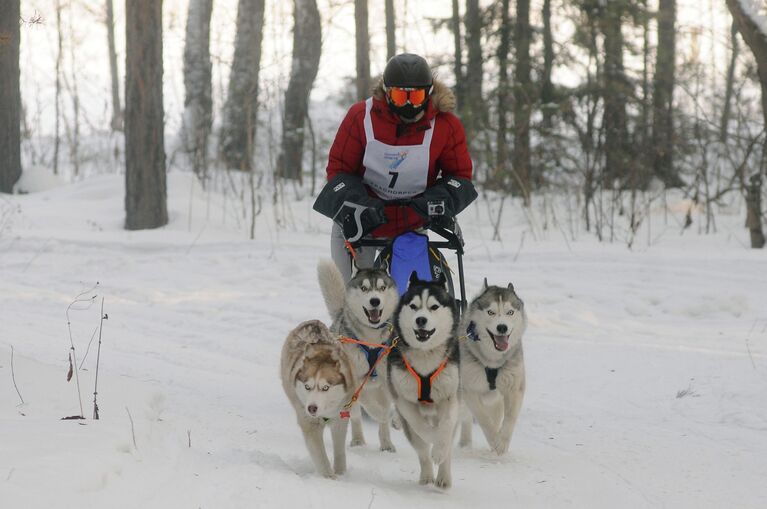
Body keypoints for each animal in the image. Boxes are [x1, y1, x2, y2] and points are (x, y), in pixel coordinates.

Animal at [280, 318, 356, 476]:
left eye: (325, 387)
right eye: (307, 387)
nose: (311, 408)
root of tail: (313, 322)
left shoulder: (341, 417)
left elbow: (339, 450)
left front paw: (341, 473)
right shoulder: (310, 424)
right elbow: (321, 458)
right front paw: (329, 477)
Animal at [318, 260, 402, 450]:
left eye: (382, 288)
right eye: (364, 288)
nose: (375, 301)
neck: (371, 341)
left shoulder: (387, 379)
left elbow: (389, 408)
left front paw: (390, 434)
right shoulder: (353, 382)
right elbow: (360, 411)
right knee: (356, 413)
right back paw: (358, 439)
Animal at [388, 272, 460, 486]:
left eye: (434, 307)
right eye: (413, 306)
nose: (421, 319)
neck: (425, 355)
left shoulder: (450, 397)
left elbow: (446, 427)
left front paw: (440, 449)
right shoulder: (404, 401)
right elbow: (421, 428)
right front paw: (433, 440)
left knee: (448, 444)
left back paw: (443, 476)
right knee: (421, 448)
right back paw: (427, 474)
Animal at [460, 280, 524, 454]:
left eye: (510, 312)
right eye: (490, 312)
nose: (502, 327)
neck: (492, 362)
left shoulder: (514, 388)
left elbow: (510, 418)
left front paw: (501, 442)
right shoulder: (469, 390)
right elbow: (483, 418)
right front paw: (494, 439)